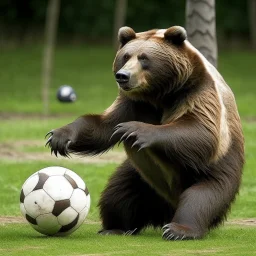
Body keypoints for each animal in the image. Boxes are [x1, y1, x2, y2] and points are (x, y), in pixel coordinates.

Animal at [45, 26, 244, 240]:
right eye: (125, 56)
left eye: (144, 58)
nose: (122, 76)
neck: (159, 95)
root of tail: (168, 205)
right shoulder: (134, 103)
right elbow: (104, 125)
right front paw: (59, 137)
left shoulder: (198, 94)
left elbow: (201, 133)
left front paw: (131, 129)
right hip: (139, 176)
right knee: (118, 193)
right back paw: (115, 227)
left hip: (215, 172)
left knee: (201, 198)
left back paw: (179, 229)